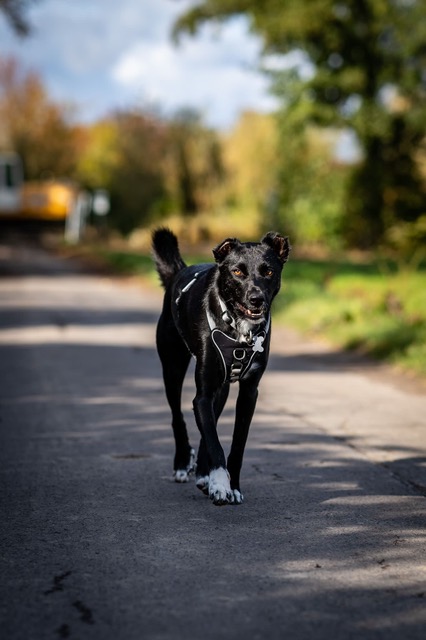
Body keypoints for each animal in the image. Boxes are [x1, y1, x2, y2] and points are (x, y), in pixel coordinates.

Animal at [152, 228, 290, 505]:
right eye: (237, 271)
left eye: (269, 271)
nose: (256, 299)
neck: (239, 330)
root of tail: (179, 272)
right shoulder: (203, 394)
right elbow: (214, 442)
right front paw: (219, 483)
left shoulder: (248, 394)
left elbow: (235, 444)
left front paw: (230, 485)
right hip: (172, 368)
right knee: (178, 417)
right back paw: (183, 464)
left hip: (223, 387)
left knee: (210, 424)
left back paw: (203, 474)